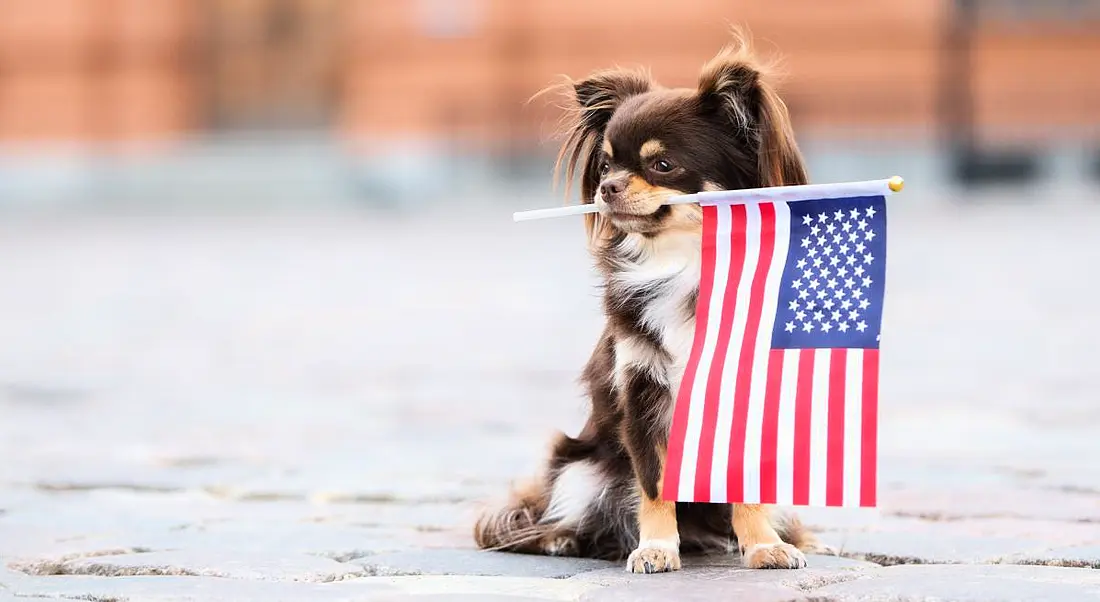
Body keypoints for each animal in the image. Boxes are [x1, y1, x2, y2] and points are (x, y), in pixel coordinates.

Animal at [475, 31, 831, 576]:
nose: (607, 187)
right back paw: (563, 538)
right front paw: (657, 549)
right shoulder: (642, 396)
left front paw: (764, 546)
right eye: (604, 165)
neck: (684, 261)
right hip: (581, 469)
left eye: (662, 165)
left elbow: (746, 489)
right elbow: (655, 483)